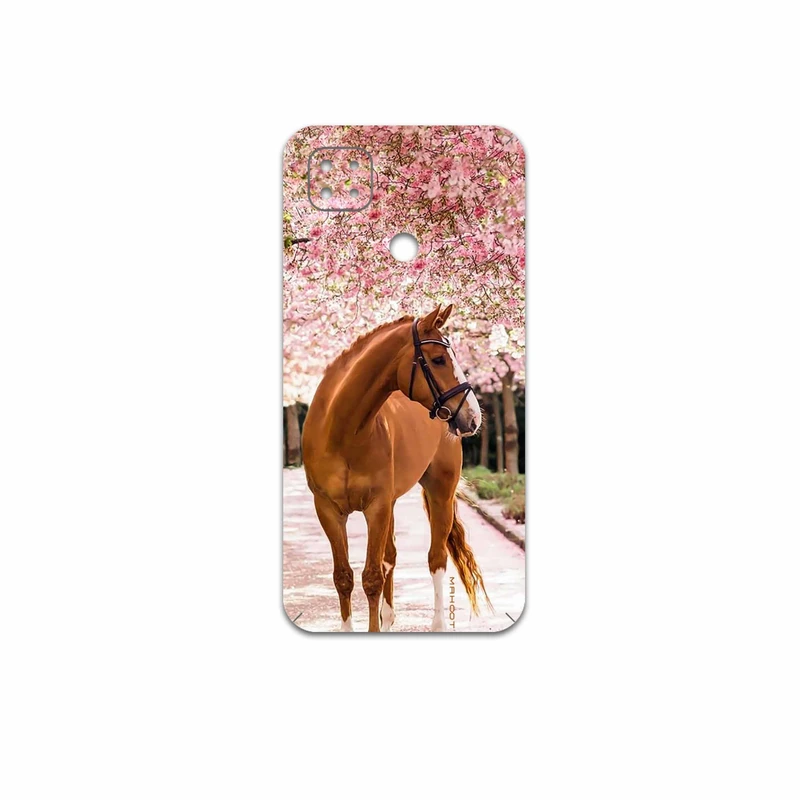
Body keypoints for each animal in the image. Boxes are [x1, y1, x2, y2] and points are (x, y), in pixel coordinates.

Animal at [301, 303, 491, 632]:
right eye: (438, 359)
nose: (473, 417)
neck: (342, 432)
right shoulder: (327, 510)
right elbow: (344, 577)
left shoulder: (376, 507)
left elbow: (372, 577)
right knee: (390, 556)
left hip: (440, 493)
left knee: (436, 558)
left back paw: (437, 624)